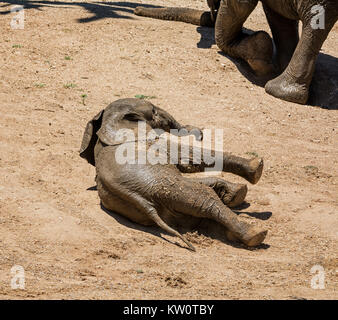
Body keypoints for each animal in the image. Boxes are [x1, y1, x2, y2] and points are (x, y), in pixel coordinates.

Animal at [80, 97, 266, 250]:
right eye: (153, 110)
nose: (200, 134)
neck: (108, 121)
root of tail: (141, 202)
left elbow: (186, 165)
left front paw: (236, 193)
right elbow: (186, 155)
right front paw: (256, 167)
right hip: (162, 187)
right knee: (203, 197)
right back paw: (256, 234)